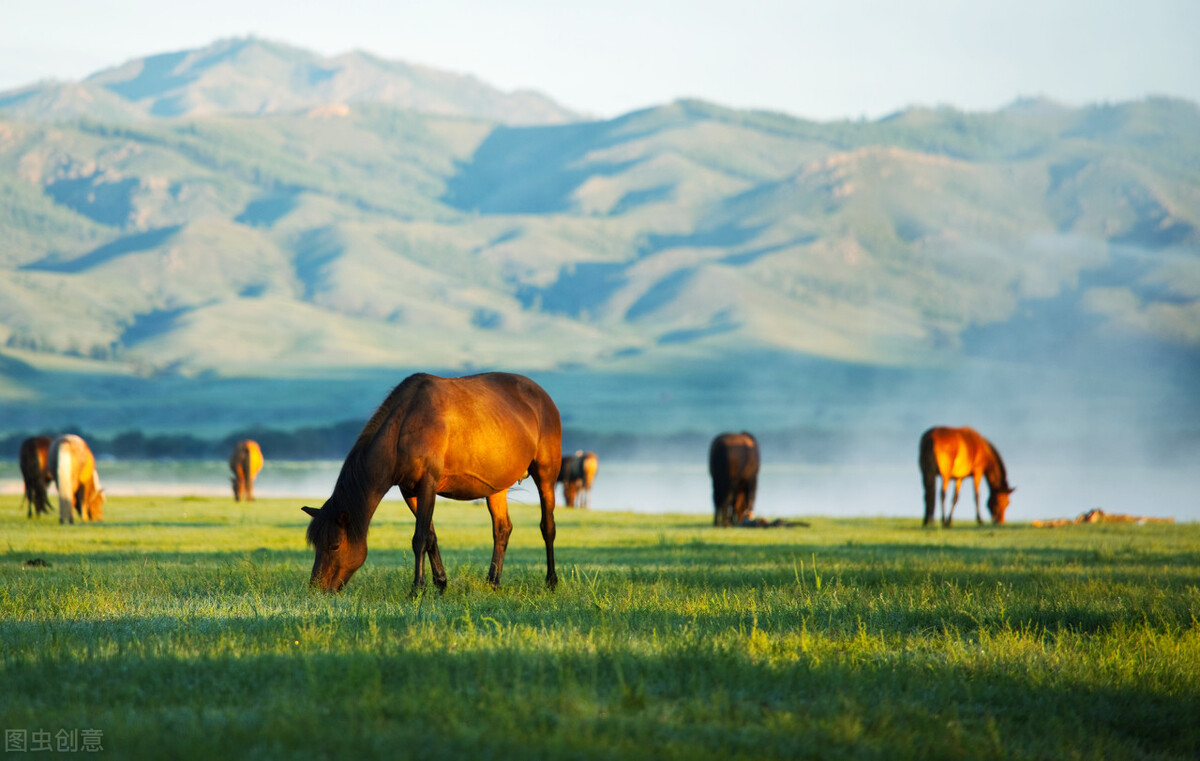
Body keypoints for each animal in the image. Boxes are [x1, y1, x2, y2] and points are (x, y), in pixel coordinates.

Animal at [300, 369, 561, 590]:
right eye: (316, 545)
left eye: (335, 545)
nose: (316, 588)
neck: (403, 426)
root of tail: (542, 397)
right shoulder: (409, 491)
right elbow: (430, 536)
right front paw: (440, 583)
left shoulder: (428, 484)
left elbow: (420, 538)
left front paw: (418, 588)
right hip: (497, 487)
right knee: (502, 529)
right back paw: (493, 582)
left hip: (546, 475)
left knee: (547, 527)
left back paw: (551, 581)